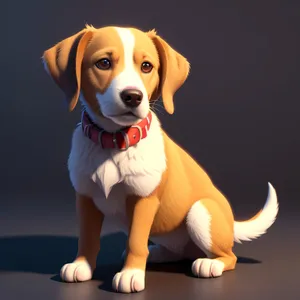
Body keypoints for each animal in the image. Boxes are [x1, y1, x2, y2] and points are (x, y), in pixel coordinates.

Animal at [42, 24, 278, 292]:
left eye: (146, 66)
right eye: (103, 63)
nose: (133, 96)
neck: (113, 142)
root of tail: (230, 225)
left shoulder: (144, 199)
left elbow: (135, 241)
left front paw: (131, 273)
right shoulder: (86, 198)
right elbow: (88, 237)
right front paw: (81, 265)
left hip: (200, 212)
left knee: (229, 255)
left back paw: (209, 264)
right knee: (178, 251)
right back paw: (158, 253)